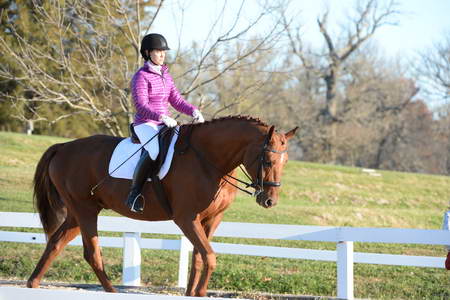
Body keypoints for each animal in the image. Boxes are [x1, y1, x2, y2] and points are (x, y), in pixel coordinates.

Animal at [27, 116, 296, 296]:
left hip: (79, 212)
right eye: (267, 159)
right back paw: (111, 291)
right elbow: (209, 256)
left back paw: (34, 283)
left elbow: (199, 257)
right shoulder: (186, 218)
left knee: (56, 242)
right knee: (91, 252)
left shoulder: (211, 219)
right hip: (85, 210)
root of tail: (63, 147)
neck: (209, 160)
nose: (269, 200)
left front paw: (192, 293)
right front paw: (199, 293)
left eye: (285, 161)